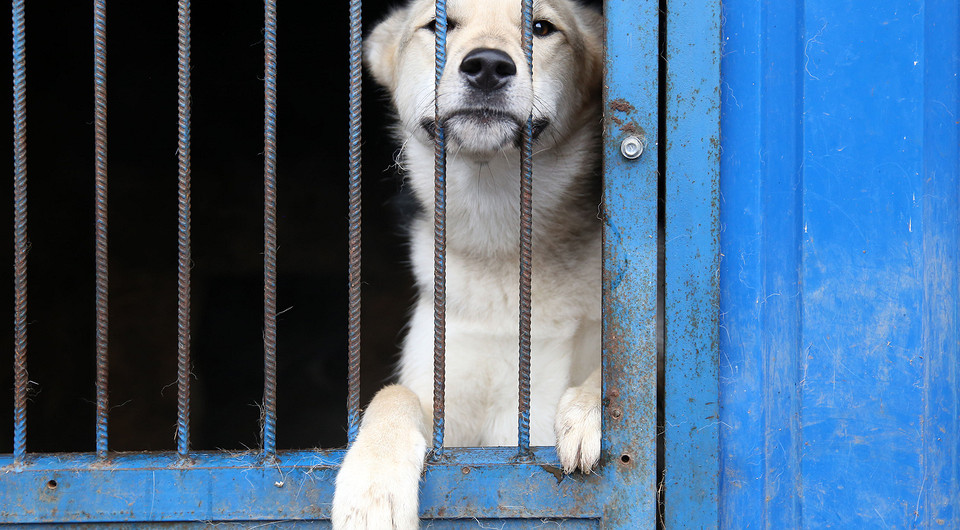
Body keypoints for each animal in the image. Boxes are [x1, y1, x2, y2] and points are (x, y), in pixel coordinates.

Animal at [330, 1, 600, 524]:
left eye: (541, 27)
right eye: (437, 25)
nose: (488, 66)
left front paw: (590, 410)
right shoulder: (444, 408)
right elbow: (391, 396)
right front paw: (372, 488)